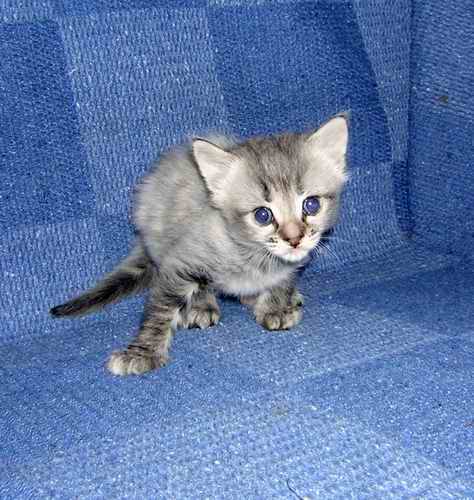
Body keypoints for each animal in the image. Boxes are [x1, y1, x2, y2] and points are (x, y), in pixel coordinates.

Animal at [50, 114, 349, 376]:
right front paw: (143, 352)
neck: (255, 258)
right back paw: (201, 307)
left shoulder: (292, 263)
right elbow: (160, 310)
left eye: (311, 205)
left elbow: (282, 282)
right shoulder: (181, 261)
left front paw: (275, 306)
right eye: (262, 215)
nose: (294, 238)